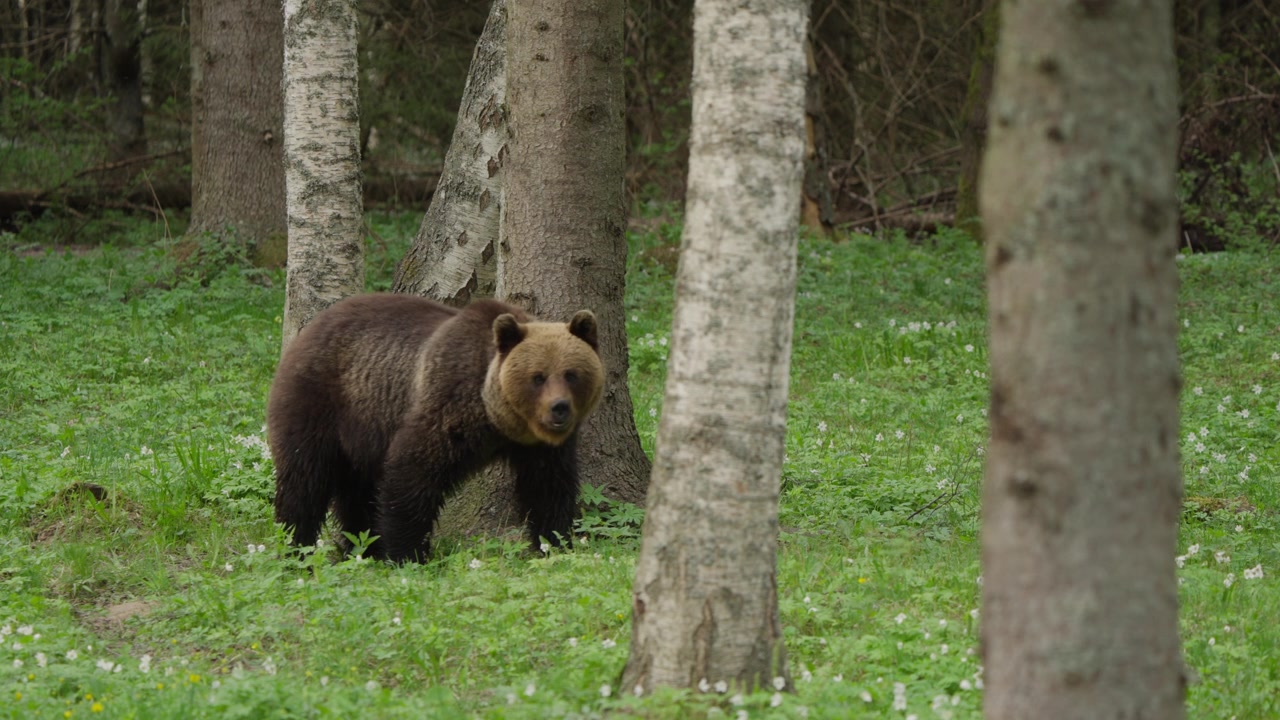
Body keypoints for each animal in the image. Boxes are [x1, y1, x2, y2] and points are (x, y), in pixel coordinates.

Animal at [266, 294, 604, 563]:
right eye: (538, 377)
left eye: (571, 373)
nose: (559, 408)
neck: (496, 416)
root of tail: (309, 328)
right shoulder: (446, 406)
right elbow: (412, 472)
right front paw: (407, 554)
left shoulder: (539, 447)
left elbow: (549, 488)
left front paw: (555, 543)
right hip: (319, 403)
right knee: (305, 479)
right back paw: (297, 548)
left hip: (362, 430)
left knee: (357, 493)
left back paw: (362, 547)